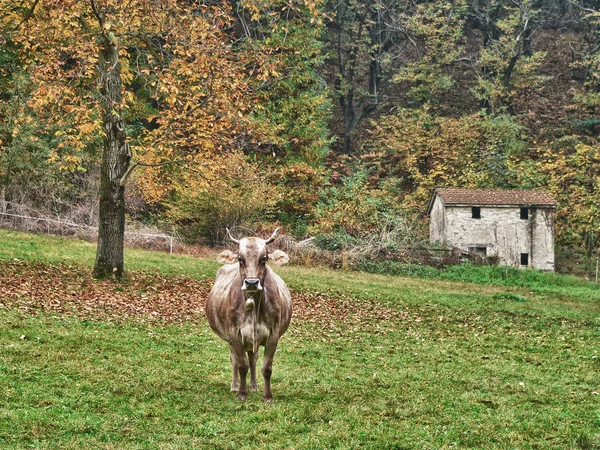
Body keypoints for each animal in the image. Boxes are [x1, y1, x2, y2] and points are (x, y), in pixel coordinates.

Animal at [205, 229, 292, 400]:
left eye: (264, 258)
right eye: (240, 259)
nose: (251, 282)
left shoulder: (273, 334)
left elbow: (266, 367)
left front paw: (267, 396)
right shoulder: (235, 333)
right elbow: (242, 365)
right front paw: (242, 393)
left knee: (252, 358)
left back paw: (253, 385)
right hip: (231, 338)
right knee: (234, 359)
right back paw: (235, 385)